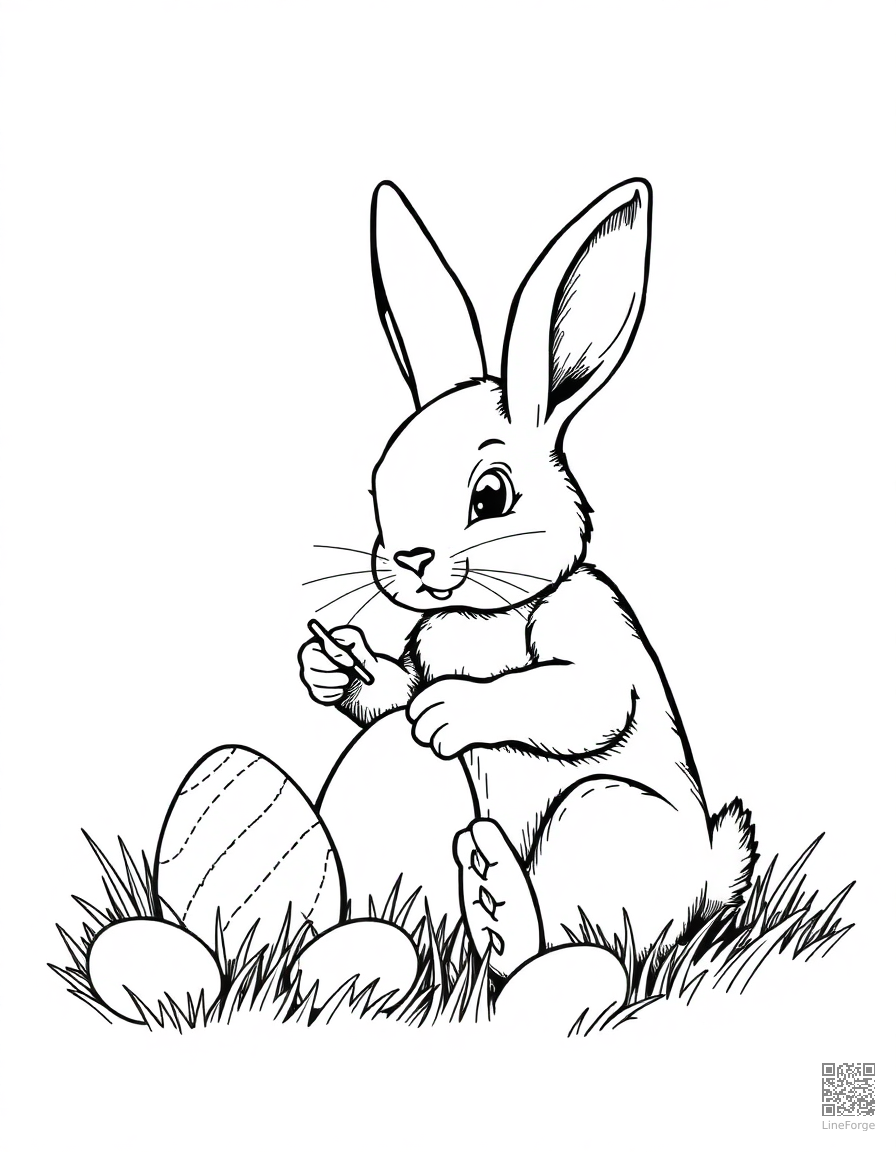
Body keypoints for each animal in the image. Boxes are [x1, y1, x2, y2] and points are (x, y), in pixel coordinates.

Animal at [301, 178, 757, 979]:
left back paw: (502, 909)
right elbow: (389, 690)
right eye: (378, 488)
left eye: (491, 495)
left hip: (597, 814)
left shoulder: (588, 629)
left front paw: (444, 714)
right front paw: (333, 665)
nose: (409, 559)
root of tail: (705, 882)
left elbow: (578, 696)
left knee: (594, 943)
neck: (487, 612)